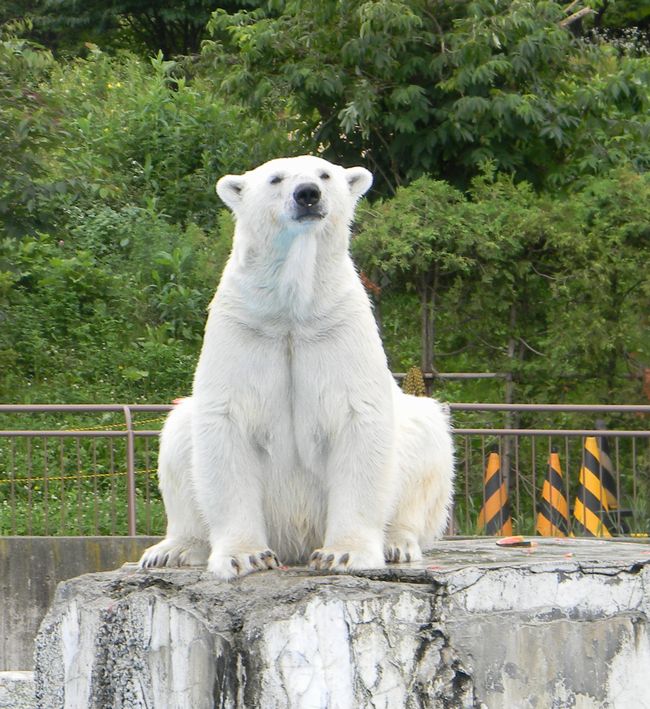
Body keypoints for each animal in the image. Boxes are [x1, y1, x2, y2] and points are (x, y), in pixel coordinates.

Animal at [138, 156, 450, 580]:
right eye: (276, 178)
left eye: (325, 174)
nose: (307, 195)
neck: (291, 308)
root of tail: (296, 542)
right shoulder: (244, 328)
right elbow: (225, 422)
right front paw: (245, 556)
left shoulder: (337, 327)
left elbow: (360, 420)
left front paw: (342, 554)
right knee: (177, 433)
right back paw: (172, 549)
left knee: (428, 438)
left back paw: (397, 542)